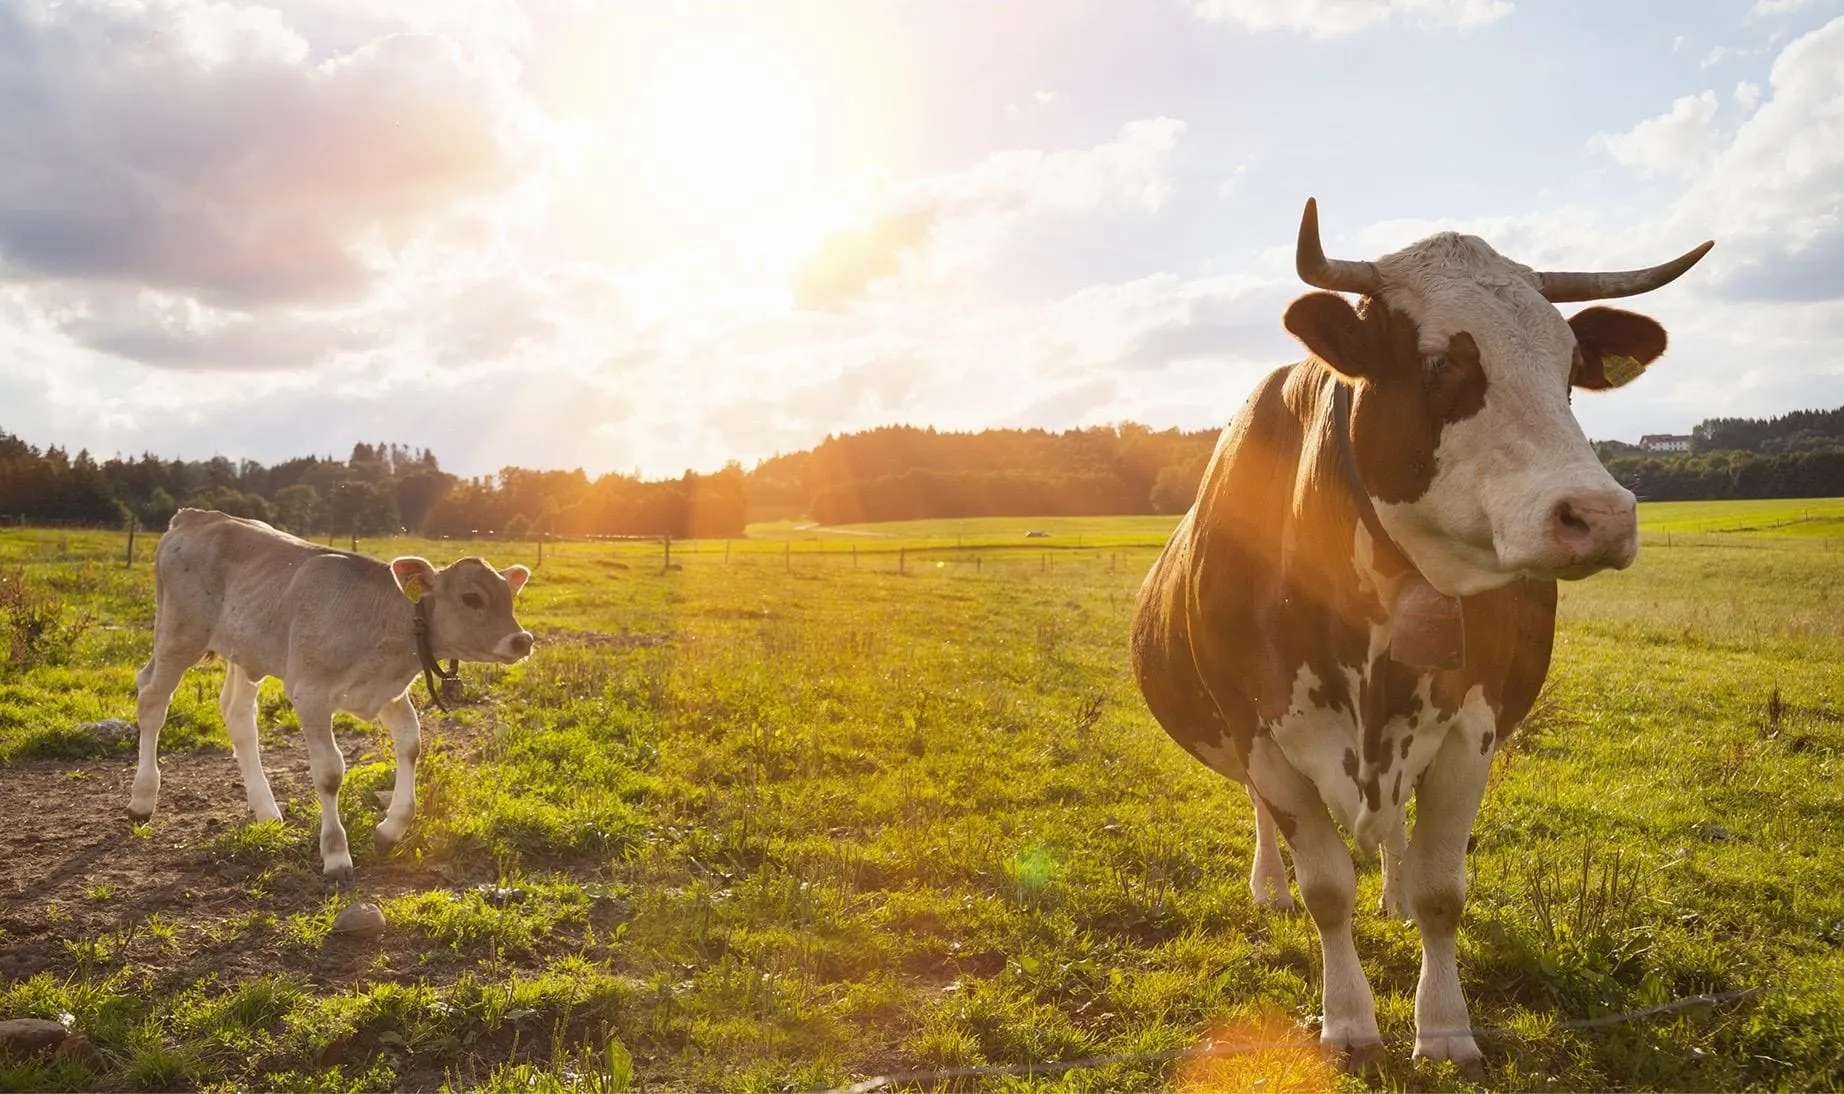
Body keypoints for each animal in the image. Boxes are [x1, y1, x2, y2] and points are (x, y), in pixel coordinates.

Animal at [128, 508, 536, 881]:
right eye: (472, 598)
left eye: (510, 597)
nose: (522, 640)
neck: (383, 623)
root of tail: (196, 515)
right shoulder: (310, 692)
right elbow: (329, 771)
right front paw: (336, 854)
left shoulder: (387, 692)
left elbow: (410, 745)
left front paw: (391, 830)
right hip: (178, 634)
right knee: (152, 698)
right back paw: (142, 797)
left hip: (247, 651)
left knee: (238, 715)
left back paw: (266, 809)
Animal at [1131, 199, 1710, 1070]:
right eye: (1442, 363)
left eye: (1569, 369)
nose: (1600, 515)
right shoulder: (1260, 731)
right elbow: (1325, 887)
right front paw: (1347, 1020)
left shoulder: (1472, 729)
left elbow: (1443, 891)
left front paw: (1441, 1025)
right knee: (1267, 819)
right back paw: (1269, 887)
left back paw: (1394, 893)